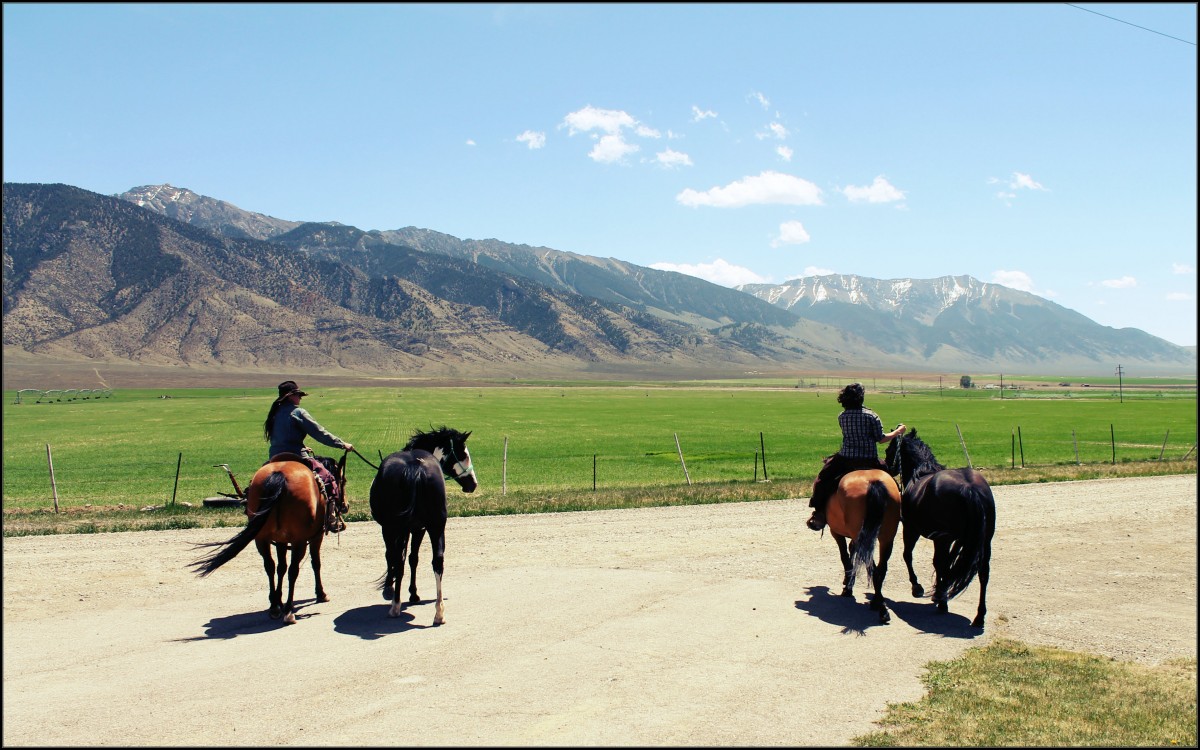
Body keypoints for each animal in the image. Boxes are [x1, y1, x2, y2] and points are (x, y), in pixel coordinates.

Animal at [188, 453, 348, 624]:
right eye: (343, 480)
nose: (346, 506)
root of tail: (279, 475)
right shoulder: (316, 537)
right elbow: (315, 564)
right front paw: (321, 594)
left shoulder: (280, 540)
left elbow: (281, 567)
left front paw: (278, 599)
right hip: (298, 542)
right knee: (293, 570)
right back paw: (289, 610)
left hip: (261, 539)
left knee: (270, 566)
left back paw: (275, 607)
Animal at [369, 424, 477, 624]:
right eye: (464, 455)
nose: (473, 484)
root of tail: (415, 467)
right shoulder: (420, 529)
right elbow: (414, 559)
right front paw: (413, 593)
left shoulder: (390, 530)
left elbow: (393, 557)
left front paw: (390, 587)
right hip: (437, 526)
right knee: (438, 561)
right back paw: (439, 612)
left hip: (399, 528)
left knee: (399, 559)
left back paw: (395, 606)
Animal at [825, 470, 902, 624]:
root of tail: (873, 482)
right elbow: (851, 553)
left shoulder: (835, 532)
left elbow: (845, 557)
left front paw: (848, 587)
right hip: (887, 538)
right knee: (880, 570)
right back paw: (878, 603)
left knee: (871, 568)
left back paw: (881, 609)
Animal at [883, 427, 993, 624]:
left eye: (889, 449)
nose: (888, 466)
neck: (921, 472)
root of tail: (970, 488)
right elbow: (943, 564)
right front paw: (938, 590)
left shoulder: (912, 530)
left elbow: (909, 556)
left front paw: (918, 587)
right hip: (985, 541)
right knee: (983, 573)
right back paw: (979, 615)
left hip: (942, 538)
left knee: (942, 564)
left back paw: (943, 602)